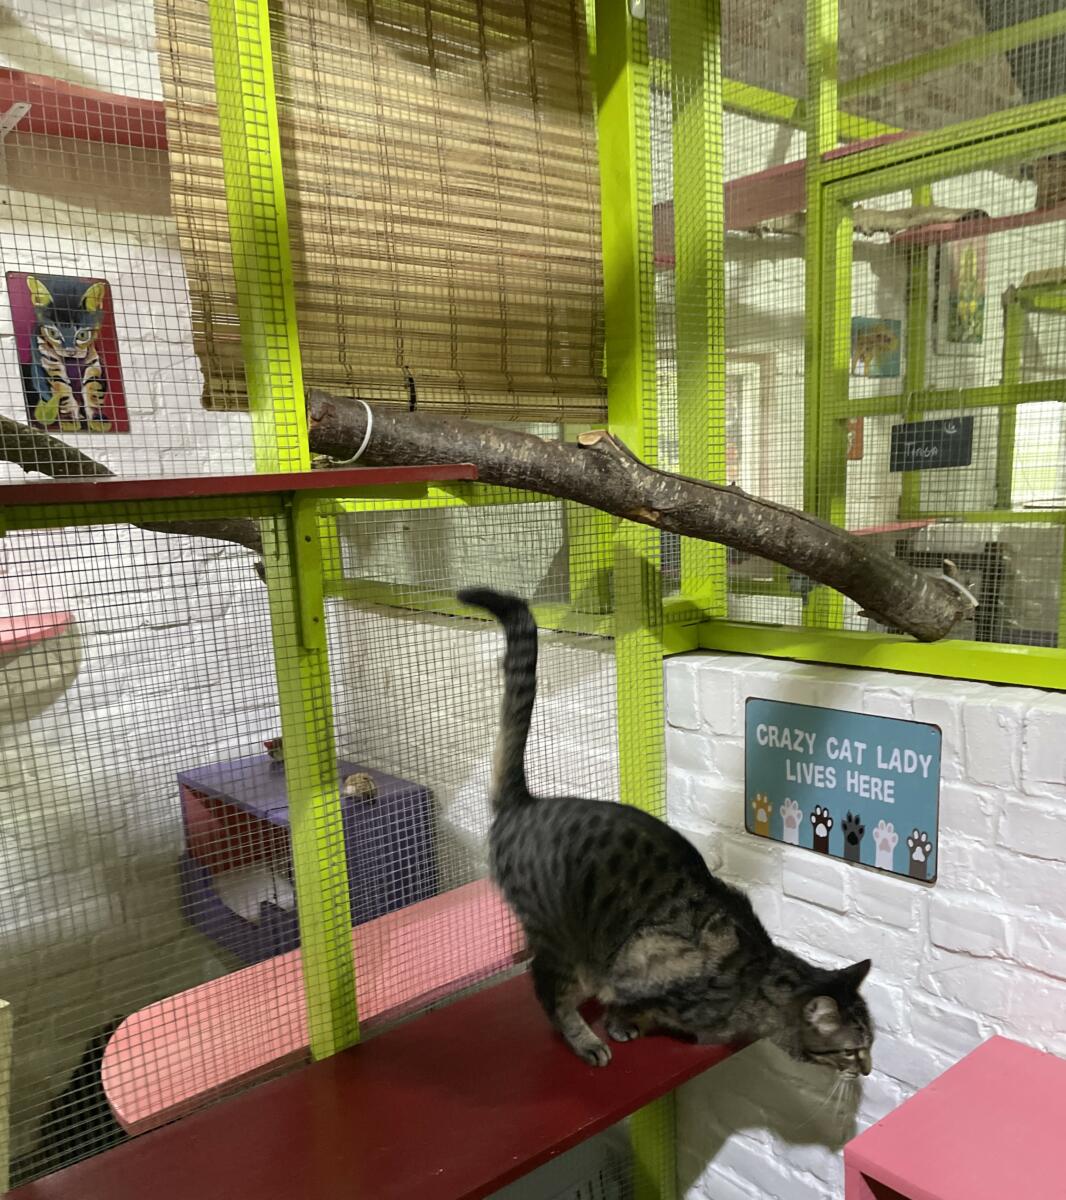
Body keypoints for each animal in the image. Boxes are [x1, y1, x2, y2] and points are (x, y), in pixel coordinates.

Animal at [25, 274, 111, 432]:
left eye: (82, 335)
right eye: (53, 333)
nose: (70, 352)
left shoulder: (93, 364)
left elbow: (93, 391)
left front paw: (97, 419)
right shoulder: (50, 363)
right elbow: (62, 392)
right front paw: (70, 419)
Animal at [459, 587, 874, 1076]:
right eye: (854, 1049)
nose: (867, 1069)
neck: (755, 977)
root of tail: (526, 801)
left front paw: (625, 1021)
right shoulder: (639, 962)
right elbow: (637, 1002)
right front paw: (622, 1024)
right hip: (563, 940)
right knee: (547, 987)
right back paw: (584, 1039)